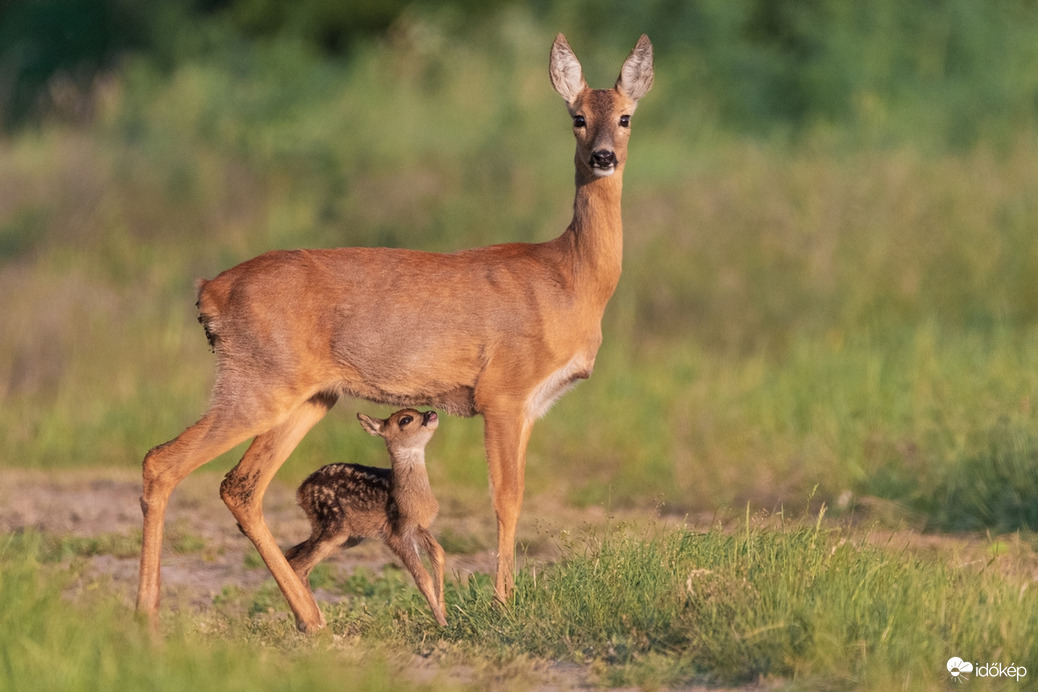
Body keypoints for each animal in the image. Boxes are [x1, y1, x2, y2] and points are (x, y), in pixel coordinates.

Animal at [286, 410, 448, 626]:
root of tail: (300, 492)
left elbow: (439, 554)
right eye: (405, 419)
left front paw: (445, 612)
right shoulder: (395, 532)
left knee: (292, 553)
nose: (431, 413)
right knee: (300, 563)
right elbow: (422, 577)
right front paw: (442, 623)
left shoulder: (418, 527)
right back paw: (315, 622)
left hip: (347, 536)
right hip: (333, 526)